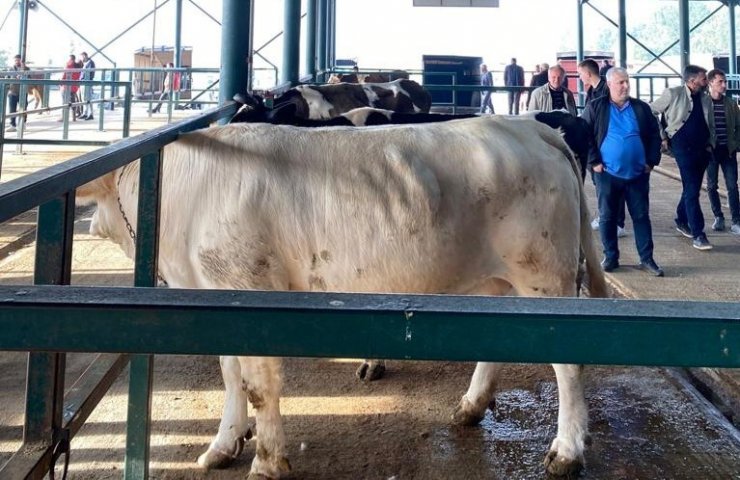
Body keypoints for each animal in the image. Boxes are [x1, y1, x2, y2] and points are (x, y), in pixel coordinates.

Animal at [78, 117, 608, 480]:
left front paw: (267, 462)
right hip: (500, 281)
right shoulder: (216, 295)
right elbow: (230, 376)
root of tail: (530, 126)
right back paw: (470, 406)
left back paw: (566, 450)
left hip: (544, 273)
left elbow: (258, 384)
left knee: (568, 364)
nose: (90, 226)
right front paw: (224, 445)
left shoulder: (251, 285)